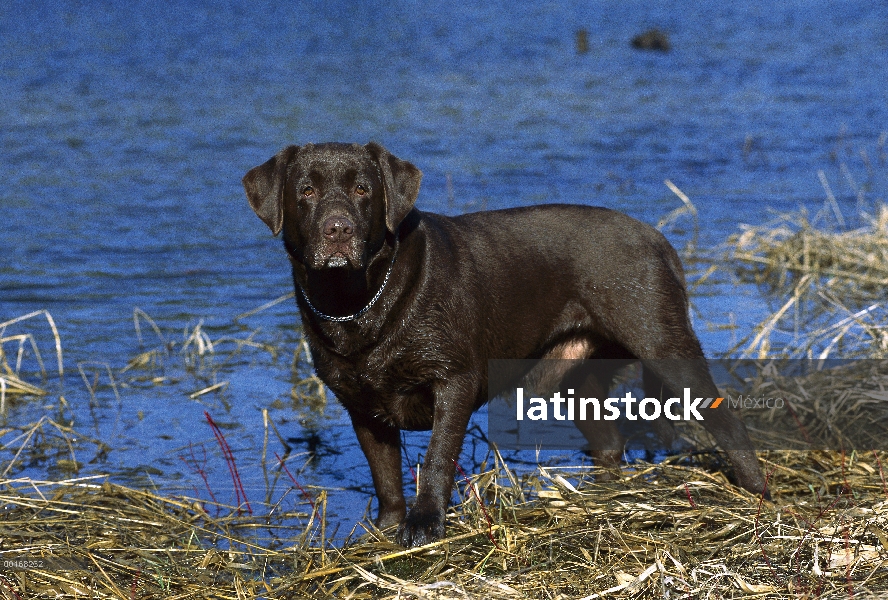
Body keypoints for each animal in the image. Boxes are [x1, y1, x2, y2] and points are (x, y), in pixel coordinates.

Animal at [245, 141, 772, 548]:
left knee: (728, 422)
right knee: (608, 442)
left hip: (664, 344)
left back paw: (759, 499)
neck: (358, 302)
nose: (338, 228)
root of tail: (658, 239)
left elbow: (437, 458)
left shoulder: (453, 382)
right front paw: (387, 527)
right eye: (306, 191)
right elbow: (385, 473)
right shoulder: (361, 405)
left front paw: (425, 525)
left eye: (362, 190)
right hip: (572, 379)